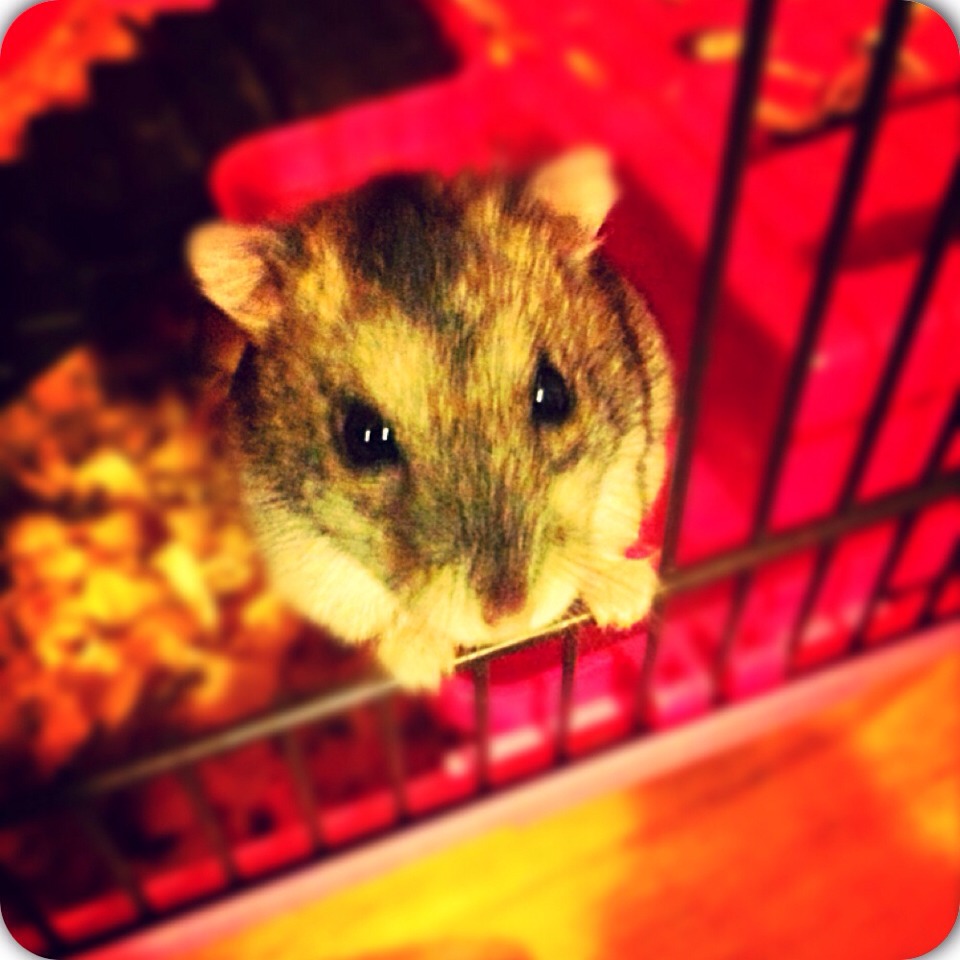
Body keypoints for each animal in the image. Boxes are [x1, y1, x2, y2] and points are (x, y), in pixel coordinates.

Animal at [186, 148, 673, 689]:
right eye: (363, 439)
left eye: (555, 395)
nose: (510, 617)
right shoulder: (303, 557)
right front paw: (421, 665)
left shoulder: (632, 456)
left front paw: (627, 597)